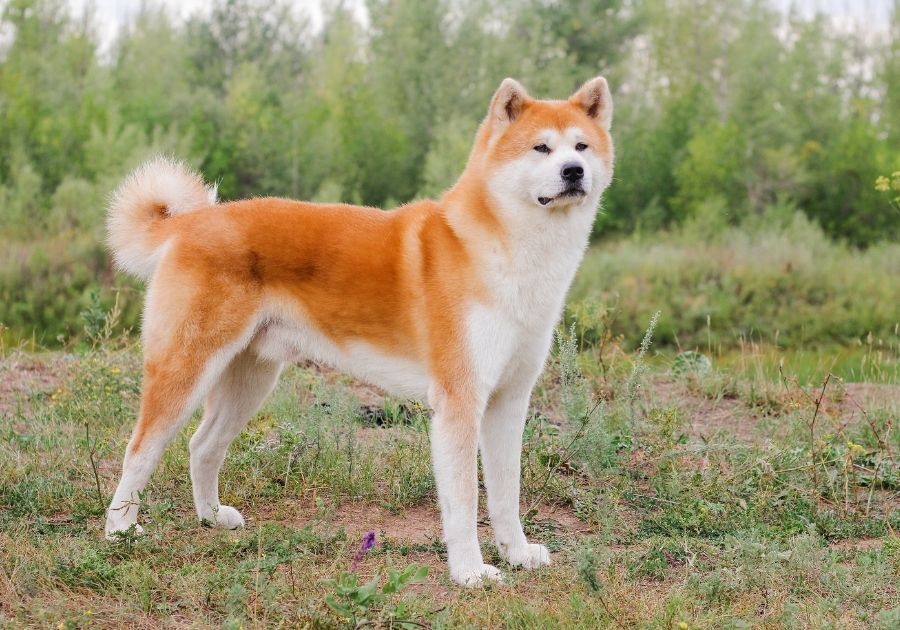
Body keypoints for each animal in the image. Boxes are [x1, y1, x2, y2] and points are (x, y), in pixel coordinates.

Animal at [103, 75, 612, 588]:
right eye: (541, 147)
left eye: (581, 146)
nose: (573, 171)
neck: (508, 252)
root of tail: (190, 223)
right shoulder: (459, 403)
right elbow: (466, 502)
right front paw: (469, 572)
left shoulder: (509, 401)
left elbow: (507, 493)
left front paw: (517, 554)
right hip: (187, 371)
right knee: (138, 450)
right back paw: (120, 530)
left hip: (250, 380)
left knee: (202, 446)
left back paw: (211, 518)